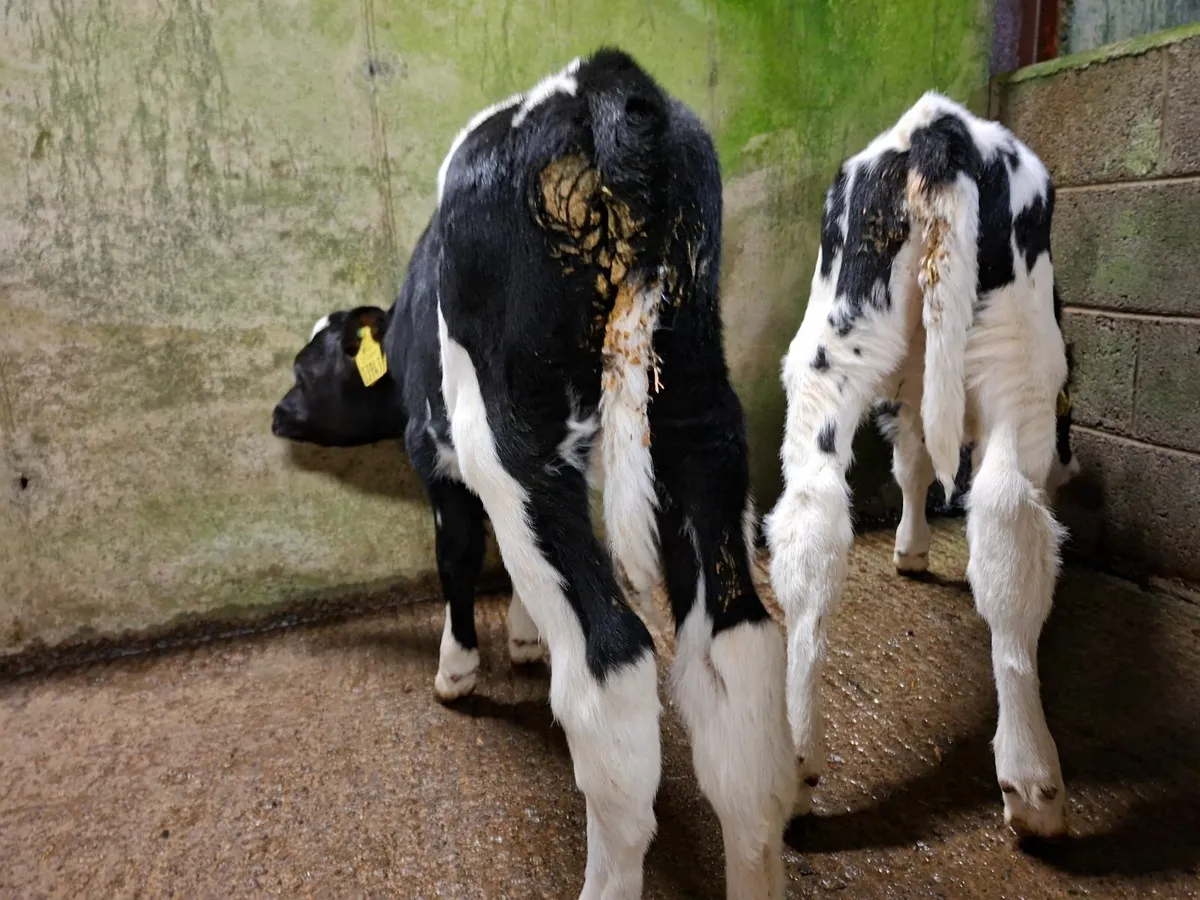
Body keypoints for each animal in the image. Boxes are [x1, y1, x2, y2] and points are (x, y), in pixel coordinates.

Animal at [765, 92, 1075, 840]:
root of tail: (939, 129)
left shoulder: (908, 396)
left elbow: (910, 463)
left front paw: (908, 550)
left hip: (828, 351)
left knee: (811, 526)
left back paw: (795, 765)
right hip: (1021, 360)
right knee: (1009, 527)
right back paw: (1035, 786)